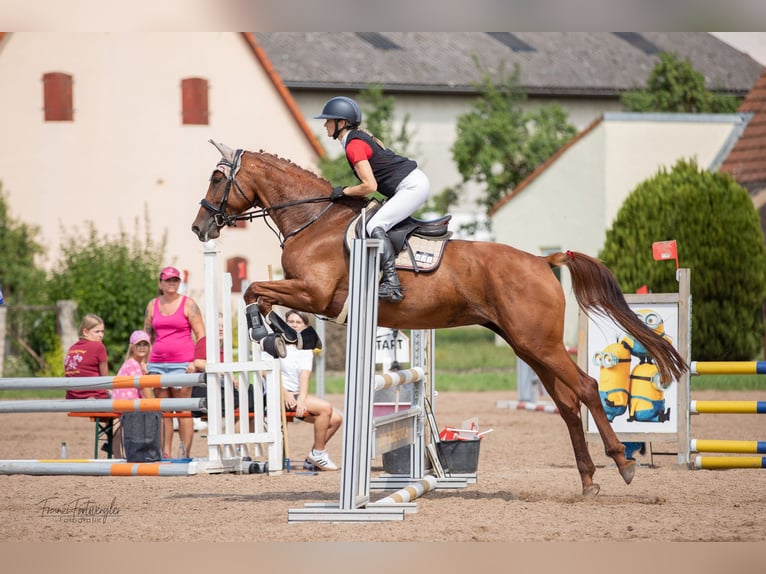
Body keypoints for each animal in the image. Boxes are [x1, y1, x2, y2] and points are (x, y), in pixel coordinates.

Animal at [191, 141, 688, 496]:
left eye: (217, 178)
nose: (200, 227)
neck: (313, 220)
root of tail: (543, 259)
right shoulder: (309, 294)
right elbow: (260, 296)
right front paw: (278, 335)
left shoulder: (314, 292)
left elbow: (255, 290)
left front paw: (269, 334)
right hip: (527, 345)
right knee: (566, 405)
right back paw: (587, 480)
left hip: (540, 343)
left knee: (585, 388)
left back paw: (622, 463)